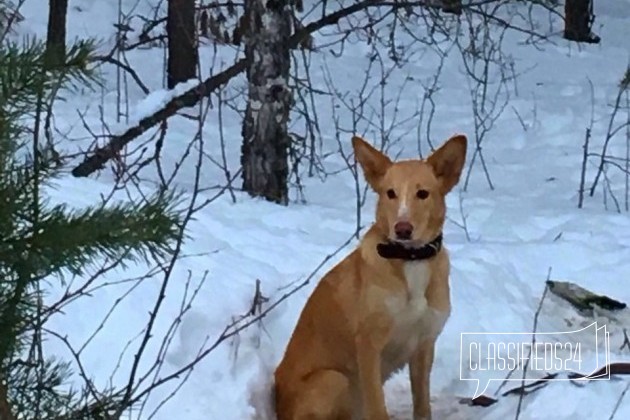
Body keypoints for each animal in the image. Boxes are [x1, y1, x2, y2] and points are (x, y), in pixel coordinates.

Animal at [276, 135, 470, 420]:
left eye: (422, 193)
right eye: (390, 193)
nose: (402, 229)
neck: (410, 260)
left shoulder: (424, 346)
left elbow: (422, 406)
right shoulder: (369, 346)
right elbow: (378, 407)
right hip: (334, 379)